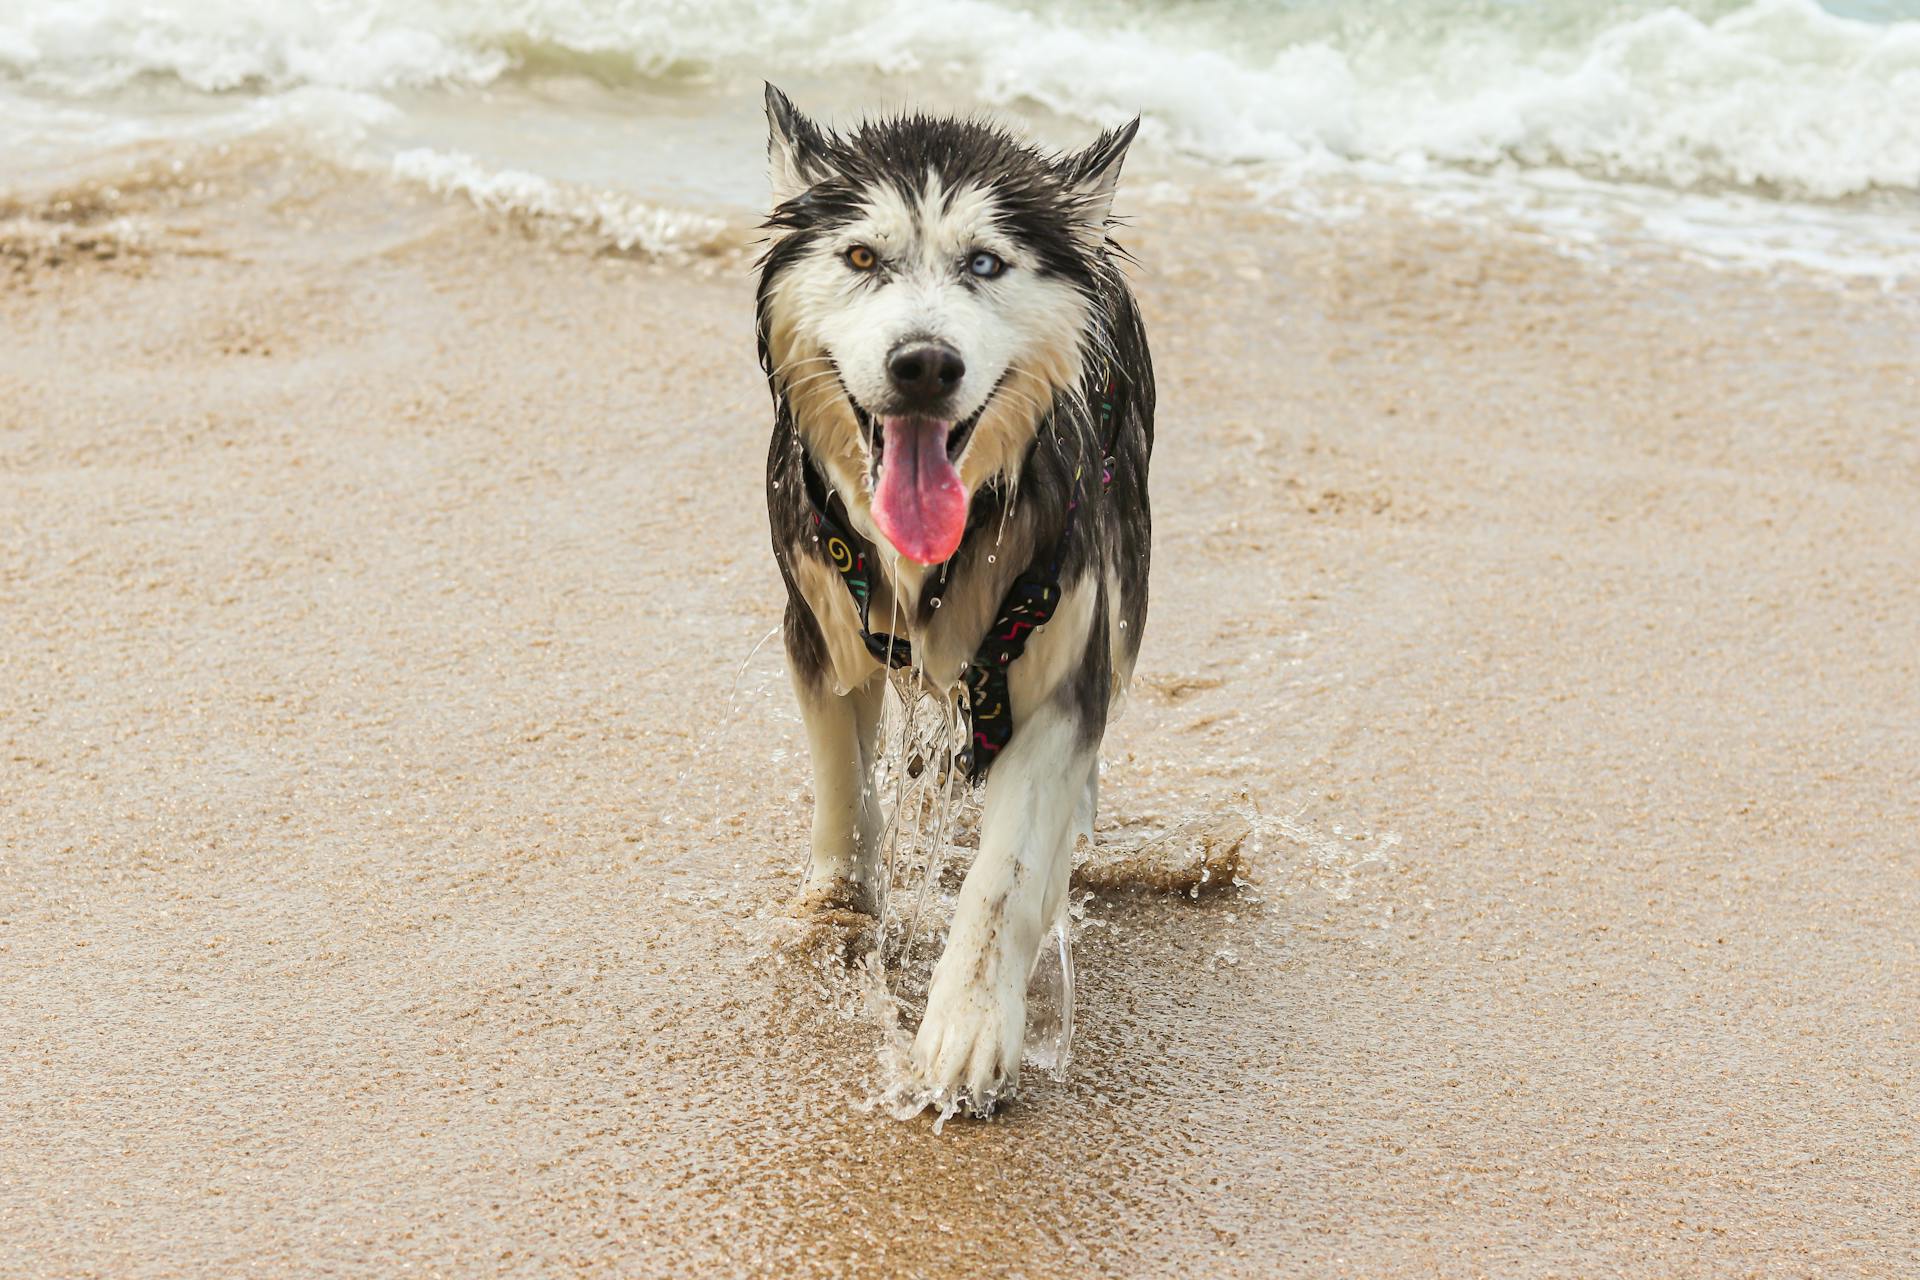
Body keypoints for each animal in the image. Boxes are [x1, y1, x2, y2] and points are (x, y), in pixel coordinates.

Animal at [756, 84, 1152, 1113]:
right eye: (862, 256)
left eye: (984, 262)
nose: (924, 363)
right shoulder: (817, 625)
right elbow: (845, 789)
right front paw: (840, 909)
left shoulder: (1059, 660)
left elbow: (1006, 875)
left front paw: (968, 1028)